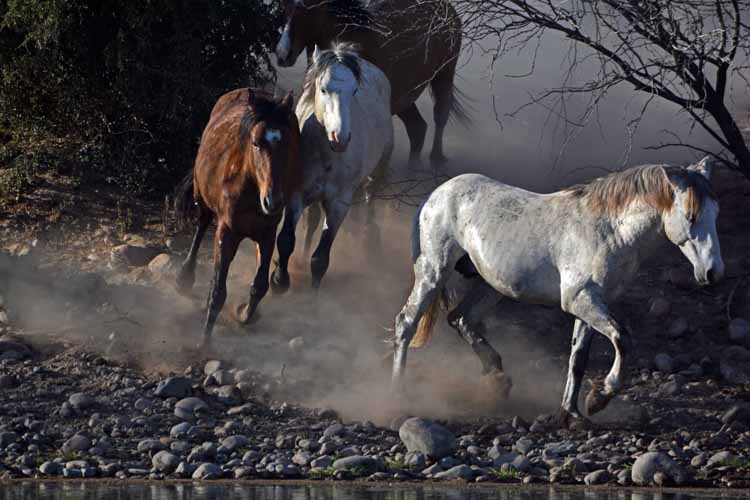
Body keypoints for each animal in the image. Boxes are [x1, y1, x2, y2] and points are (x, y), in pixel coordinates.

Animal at [176, 89, 302, 348]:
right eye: (256, 142)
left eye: (287, 144)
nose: (273, 201)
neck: (250, 190)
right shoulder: (226, 233)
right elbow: (218, 291)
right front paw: (204, 341)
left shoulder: (267, 234)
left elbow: (260, 285)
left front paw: (244, 313)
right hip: (201, 195)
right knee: (201, 225)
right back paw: (185, 276)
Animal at [272, 43, 400, 292]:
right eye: (323, 89)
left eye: (354, 91)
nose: (339, 137)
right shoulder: (296, 195)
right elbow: (286, 240)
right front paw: (279, 281)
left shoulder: (339, 204)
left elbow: (320, 258)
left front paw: (313, 293)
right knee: (311, 223)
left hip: (377, 171)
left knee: (370, 200)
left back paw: (369, 242)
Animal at [274, 0, 468, 167]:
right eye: (284, 6)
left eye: (307, 8)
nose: (282, 53)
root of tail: (447, 9)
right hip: (405, 97)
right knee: (417, 128)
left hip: (444, 75)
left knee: (440, 115)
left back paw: (436, 159)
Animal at [394, 158, 724, 428]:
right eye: (691, 216)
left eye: (716, 213)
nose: (713, 273)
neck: (608, 231)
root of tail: (435, 195)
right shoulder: (581, 300)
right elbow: (622, 338)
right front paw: (599, 397)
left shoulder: (590, 305)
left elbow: (578, 359)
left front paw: (571, 413)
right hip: (432, 273)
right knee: (406, 325)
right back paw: (399, 395)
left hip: (491, 286)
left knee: (460, 319)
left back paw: (497, 377)